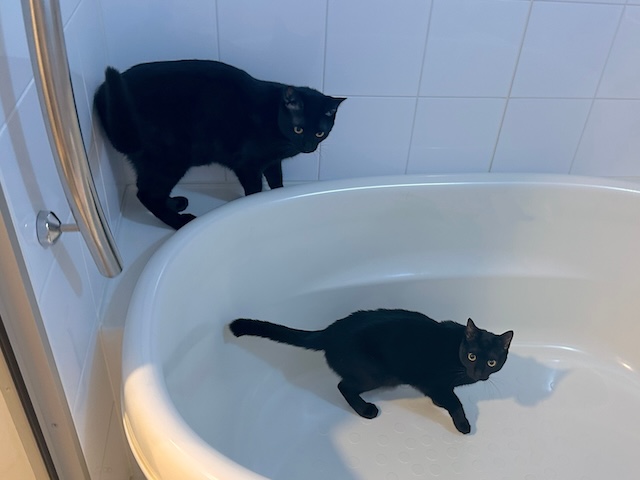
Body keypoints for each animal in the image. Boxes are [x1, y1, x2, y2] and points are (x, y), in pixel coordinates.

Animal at [93, 59, 345, 229]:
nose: (308, 146)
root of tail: (103, 93)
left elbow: (276, 182)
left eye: (320, 133)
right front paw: (255, 207)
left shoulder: (273, 162)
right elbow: (255, 189)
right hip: (171, 157)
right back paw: (179, 222)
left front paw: (277, 199)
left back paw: (175, 204)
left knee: (148, 187)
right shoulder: (247, 165)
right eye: (298, 129)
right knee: (146, 194)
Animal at [229, 309, 513, 434]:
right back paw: (366, 410)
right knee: (343, 386)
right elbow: (454, 403)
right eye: (472, 356)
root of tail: (329, 332)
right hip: (377, 373)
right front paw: (463, 424)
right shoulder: (434, 384)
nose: (479, 373)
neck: (456, 353)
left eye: (492, 362)